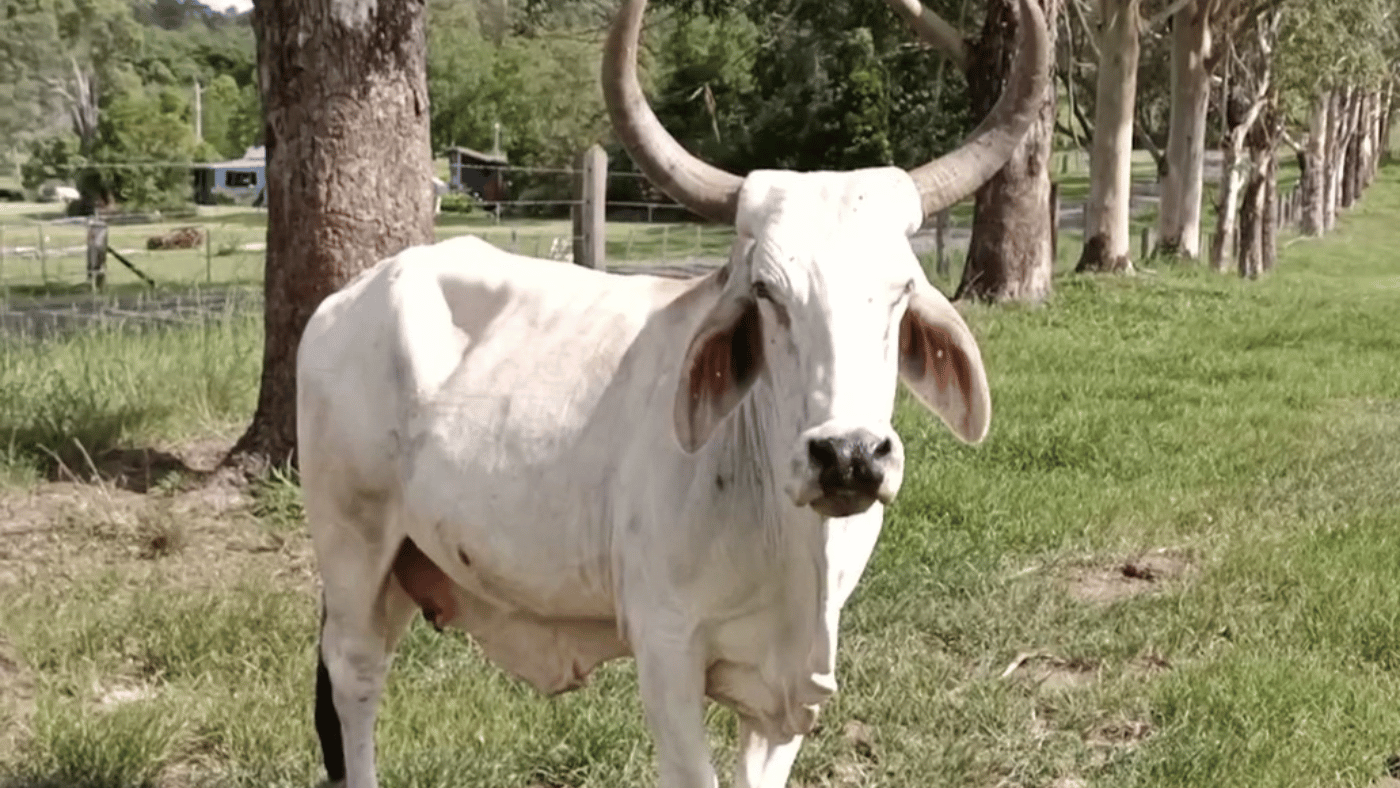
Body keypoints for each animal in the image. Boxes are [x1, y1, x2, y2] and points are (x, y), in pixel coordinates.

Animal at [296, 1, 1049, 786]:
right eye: (766, 291)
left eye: (901, 291)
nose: (848, 455)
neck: (788, 545)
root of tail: (349, 296)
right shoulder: (665, 652)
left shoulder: (781, 699)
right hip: (352, 548)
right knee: (355, 679)